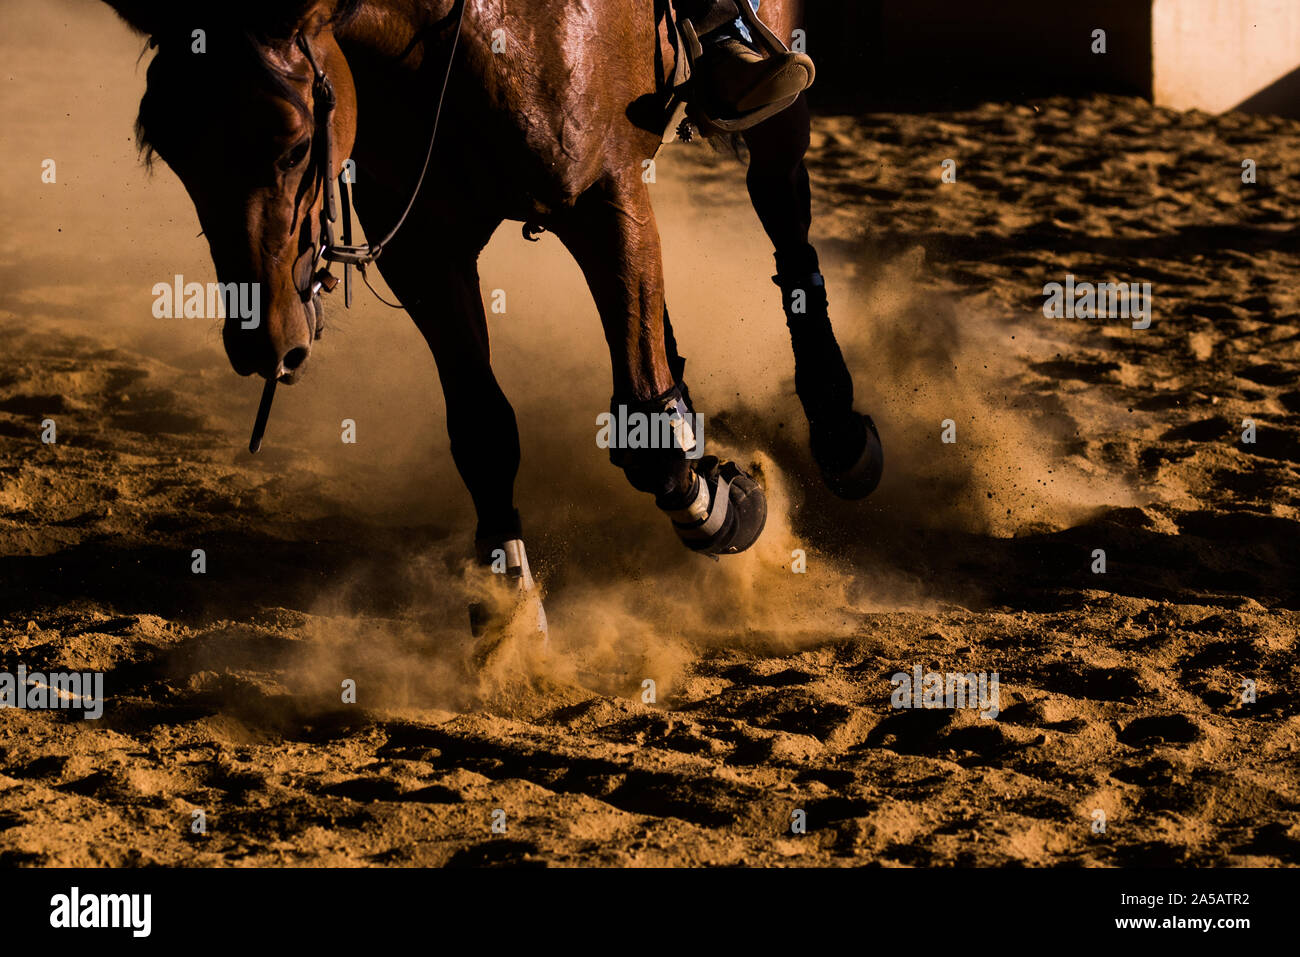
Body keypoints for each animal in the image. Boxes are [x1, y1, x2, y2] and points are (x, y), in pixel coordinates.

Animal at [103, 0, 881, 634]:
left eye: (296, 143)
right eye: (169, 149)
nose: (266, 344)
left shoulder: (606, 199)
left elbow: (645, 430)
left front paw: (729, 507)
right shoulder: (420, 245)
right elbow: (482, 427)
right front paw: (510, 613)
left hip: (776, 107)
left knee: (785, 219)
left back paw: (838, 426)